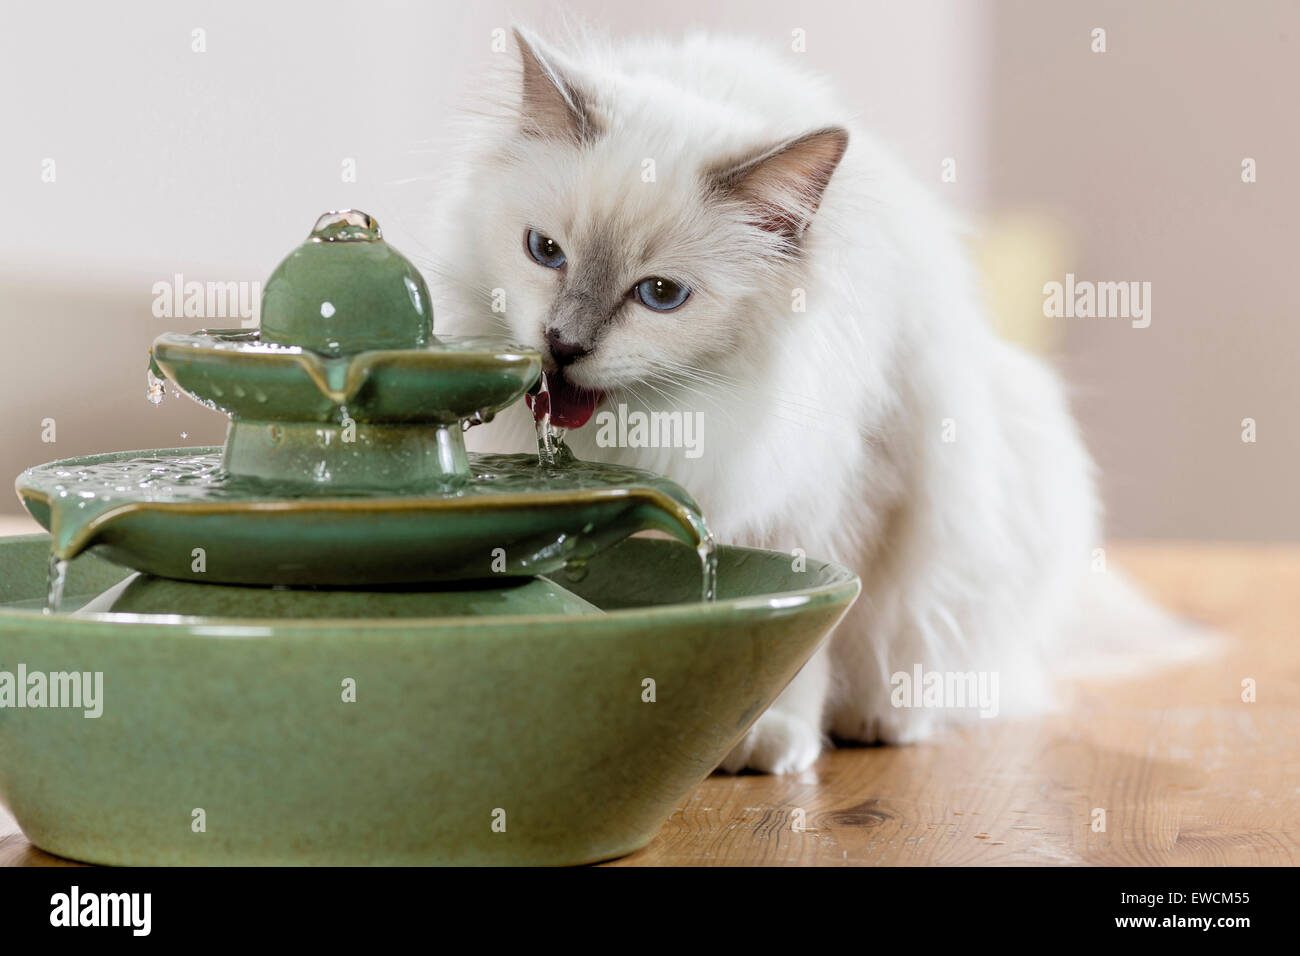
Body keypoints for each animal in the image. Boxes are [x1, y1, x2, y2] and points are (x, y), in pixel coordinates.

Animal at [426, 31, 1107, 780]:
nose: (562, 344)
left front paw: (768, 738)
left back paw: (883, 721)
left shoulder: (832, 499)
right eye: (545, 251)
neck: (656, 424)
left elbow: (814, 636)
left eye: (660, 295)